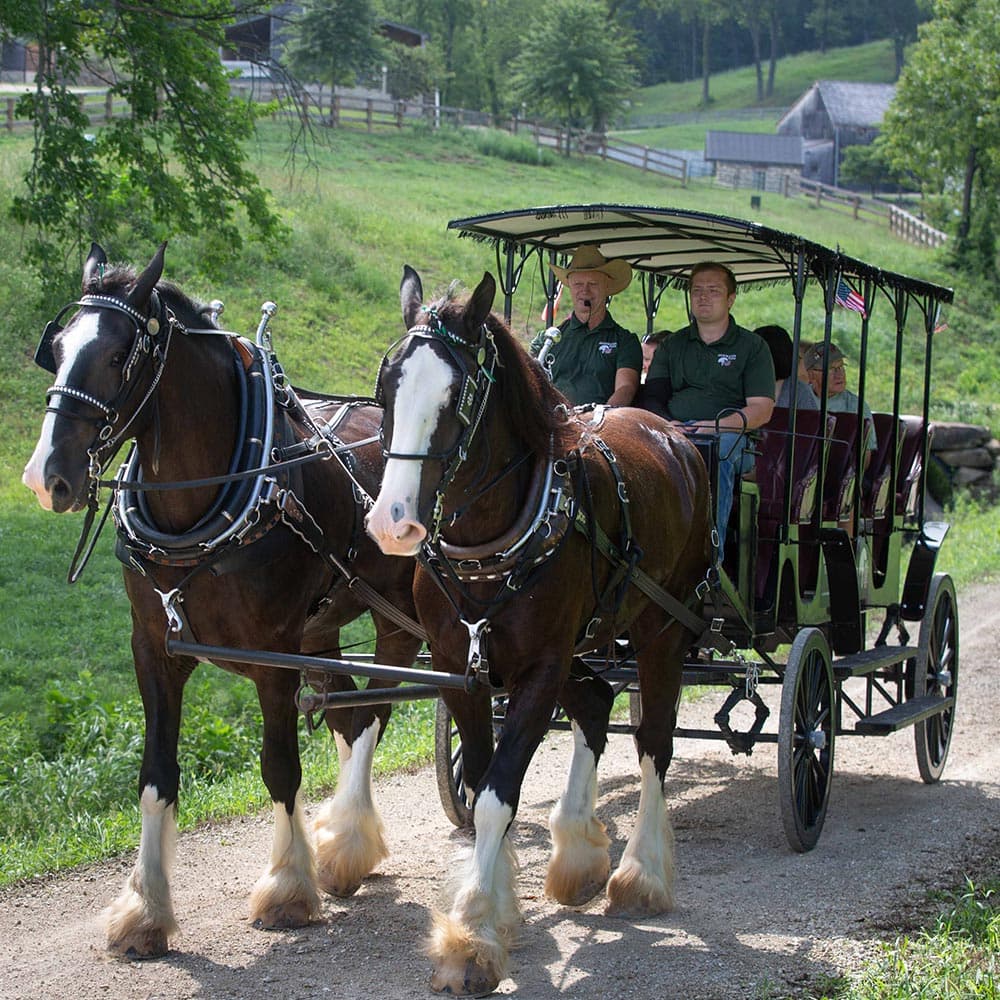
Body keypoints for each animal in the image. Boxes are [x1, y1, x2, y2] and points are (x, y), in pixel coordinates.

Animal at [22, 243, 423, 957]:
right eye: (58, 347)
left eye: (118, 355)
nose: (47, 477)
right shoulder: (153, 650)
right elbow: (156, 775)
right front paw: (145, 910)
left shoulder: (274, 656)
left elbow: (280, 768)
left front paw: (288, 889)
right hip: (322, 630)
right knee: (350, 716)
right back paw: (342, 841)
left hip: (394, 619)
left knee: (377, 711)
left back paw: (347, 840)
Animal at [365, 266, 713, 996]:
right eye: (385, 386)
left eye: (457, 396)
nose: (394, 522)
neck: (490, 544)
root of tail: (673, 436)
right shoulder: (459, 669)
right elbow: (477, 791)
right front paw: (489, 911)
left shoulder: (539, 671)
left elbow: (499, 796)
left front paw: (471, 934)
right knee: (597, 704)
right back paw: (578, 853)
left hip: (663, 629)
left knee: (654, 743)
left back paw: (642, 874)